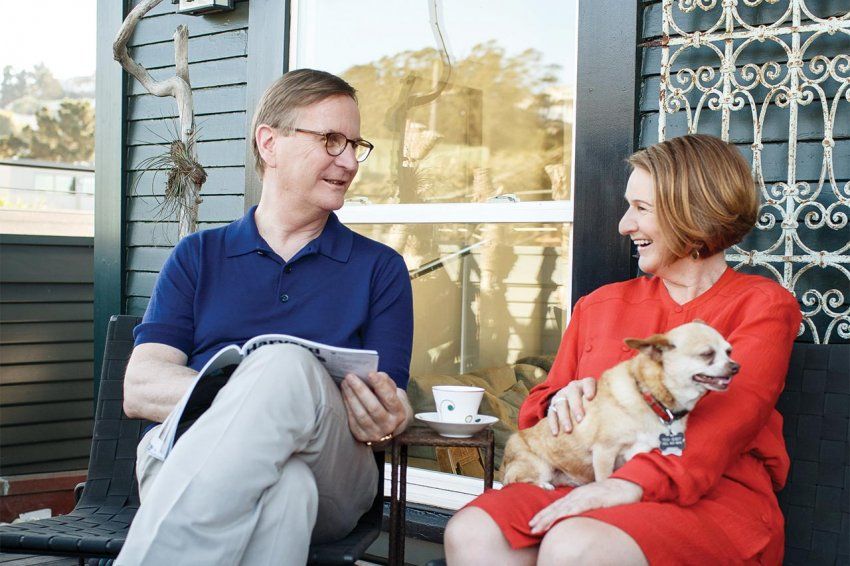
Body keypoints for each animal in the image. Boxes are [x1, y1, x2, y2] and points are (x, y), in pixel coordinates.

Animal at [504, 322, 736, 490]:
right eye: (707, 354)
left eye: (729, 352)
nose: (736, 366)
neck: (649, 397)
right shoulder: (604, 452)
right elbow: (604, 479)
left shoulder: (637, 451)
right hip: (538, 466)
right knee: (513, 480)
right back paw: (543, 484)